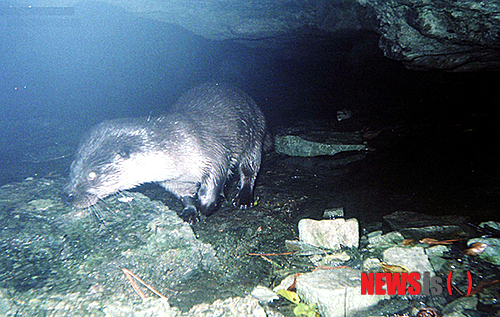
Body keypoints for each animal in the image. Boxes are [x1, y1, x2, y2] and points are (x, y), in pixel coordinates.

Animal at [67, 83, 270, 222]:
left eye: (91, 175)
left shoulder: (213, 151)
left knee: (250, 170)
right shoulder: (170, 181)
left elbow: (216, 175)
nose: (67, 196)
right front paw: (190, 212)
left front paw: (207, 204)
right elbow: (184, 195)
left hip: (254, 136)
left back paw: (243, 198)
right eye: (72, 167)